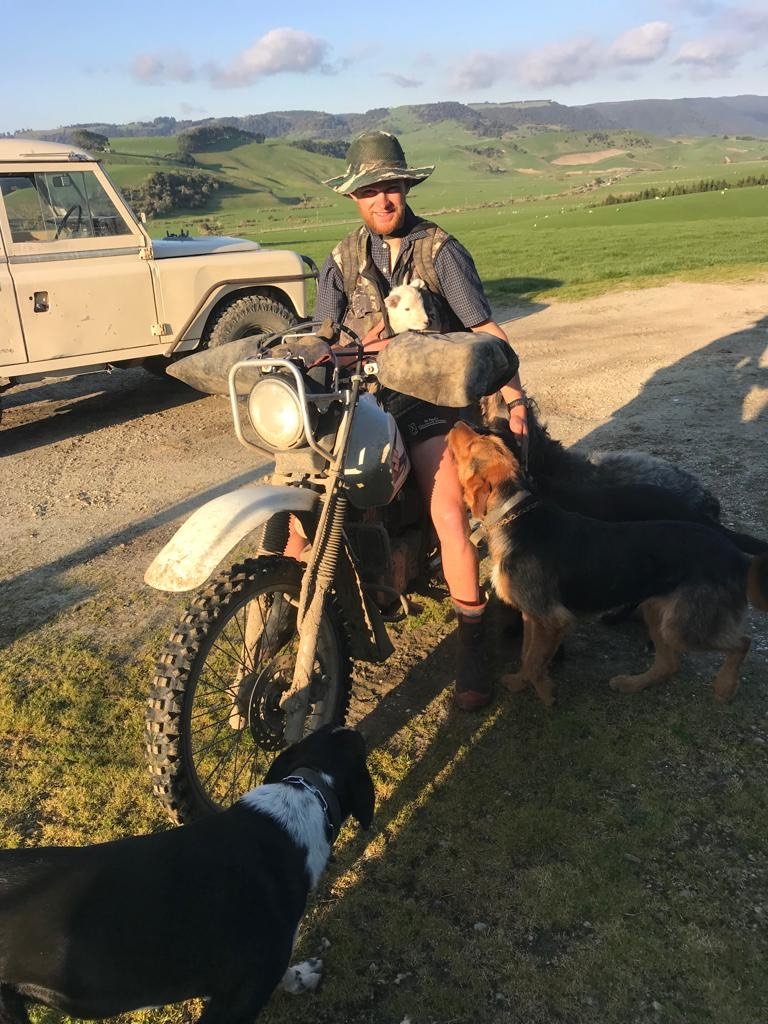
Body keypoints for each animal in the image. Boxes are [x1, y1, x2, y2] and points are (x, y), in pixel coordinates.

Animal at [448, 421, 765, 704]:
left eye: (474, 444)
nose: (457, 422)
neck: (514, 515)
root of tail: (737, 558)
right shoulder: (532, 615)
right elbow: (528, 657)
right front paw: (520, 683)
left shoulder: (552, 619)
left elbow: (536, 661)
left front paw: (545, 693)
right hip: (658, 612)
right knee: (669, 664)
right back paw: (631, 683)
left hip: (684, 627)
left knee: (742, 643)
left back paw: (725, 687)